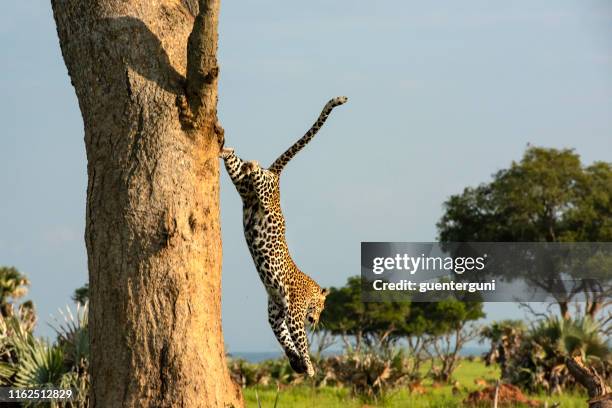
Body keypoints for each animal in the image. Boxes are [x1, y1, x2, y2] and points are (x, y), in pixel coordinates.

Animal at [220, 95, 346, 376]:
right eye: (320, 307)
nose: (315, 319)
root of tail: (276, 176)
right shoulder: (294, 314)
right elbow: (301, 340)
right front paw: (309, 366)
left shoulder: (276, 314)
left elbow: (286, 339)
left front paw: (296, 362)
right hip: (263, 189)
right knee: (254, 169)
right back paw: (252, 162)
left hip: (244, 188)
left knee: (236, 165)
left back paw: (227, 150)